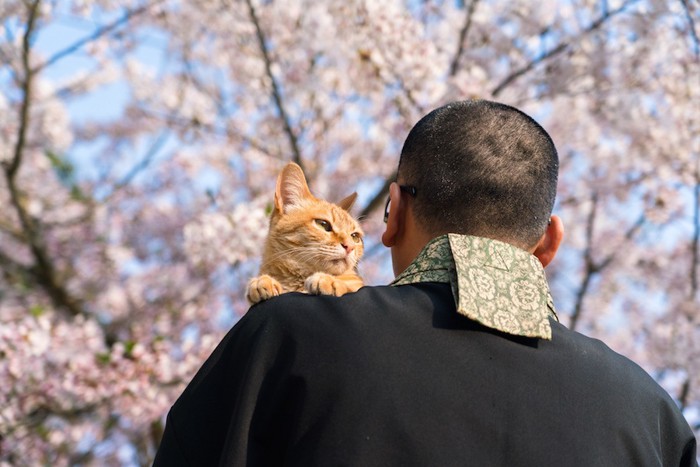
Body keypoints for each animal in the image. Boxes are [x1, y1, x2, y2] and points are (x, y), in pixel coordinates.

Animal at [246, 163, 364, 306]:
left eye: (355, 236)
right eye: (323, 224)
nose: (350, 247)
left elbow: (351, 286)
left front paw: (330, 281)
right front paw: (262, 281)